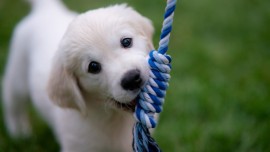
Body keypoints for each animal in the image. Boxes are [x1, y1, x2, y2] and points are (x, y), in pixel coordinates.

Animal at [2, 0, 154, 151]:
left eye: (126, 41)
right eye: (93, 67)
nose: (132, 79)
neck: (113, 117)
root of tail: (46, 10)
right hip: (18, 77)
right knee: (12, 101)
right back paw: (19, 133)